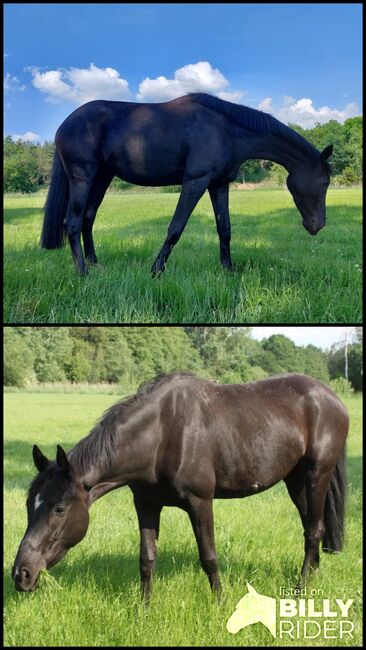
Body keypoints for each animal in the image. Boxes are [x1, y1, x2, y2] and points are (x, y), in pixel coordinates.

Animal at [12, 372, 348, 596]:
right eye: (29, 504)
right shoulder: (146, 505)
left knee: (314, 530)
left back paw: (301, 587)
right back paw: (311, 577)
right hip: (296, 480)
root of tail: (332, 398)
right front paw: (144, 608)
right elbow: (146, 559)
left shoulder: (200, 502)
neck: (162, 434)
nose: (21, 574)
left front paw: (220, 603)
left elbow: (209, 557)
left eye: (59, 509)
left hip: (317, 474)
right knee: (310, 527)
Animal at [40, 92, 334, 274]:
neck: (226, 129)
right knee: (73, 222)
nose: (318, 225)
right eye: (325, 181)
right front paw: (156, 270)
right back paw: (83, 273)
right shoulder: (195, 181)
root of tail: (65, 125)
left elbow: (225, 229)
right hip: (82, 177)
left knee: (88, 218)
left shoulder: (219, 185)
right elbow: (175, 228)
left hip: (102, 178)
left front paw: (228, 270)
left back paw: (95, 265)